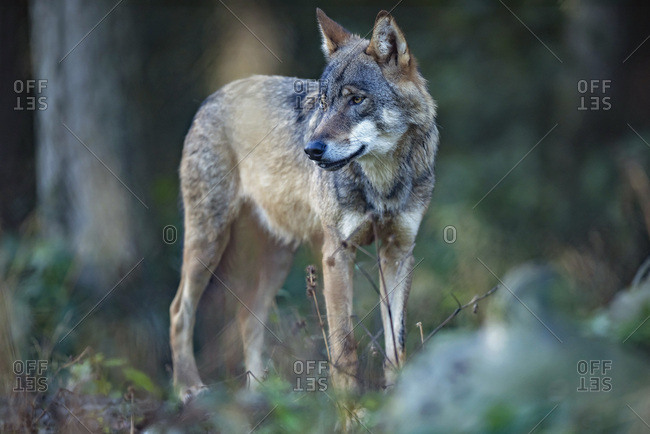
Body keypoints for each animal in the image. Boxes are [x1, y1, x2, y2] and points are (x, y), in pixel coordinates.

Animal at [170, 8, 438, 401]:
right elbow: (344, 348)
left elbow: (396, 347)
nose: (311, 149)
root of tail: (214, 96)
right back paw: (189, 388)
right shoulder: (337, 253)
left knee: (247, 318)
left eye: (355, 100)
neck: (382, 182)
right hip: (208, 242)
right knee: (179, 311)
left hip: (277, 257)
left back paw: (259, 394)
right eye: (323, 103)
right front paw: (350, 408)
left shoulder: (398, 252)